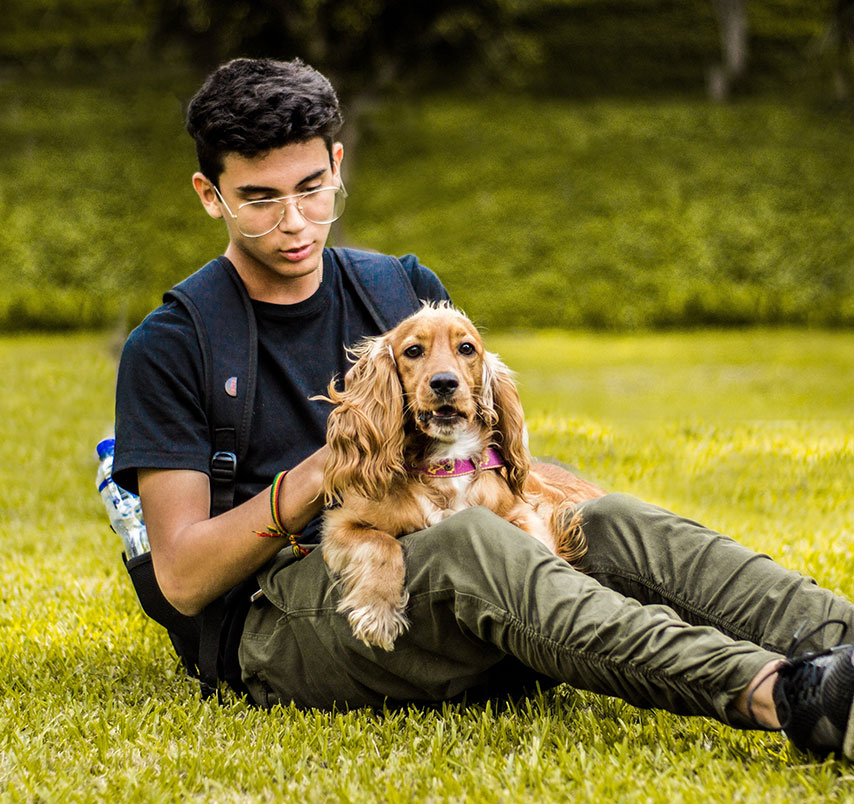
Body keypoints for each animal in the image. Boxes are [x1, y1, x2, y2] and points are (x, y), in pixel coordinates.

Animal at [319, 302, 605, 650]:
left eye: (467, 348)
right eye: (413, 351)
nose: (444, 382)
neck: (447, 463)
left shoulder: (526, 512)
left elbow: (532, 539)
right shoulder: (340, 524)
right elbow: (379, 544)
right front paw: (378, 609)